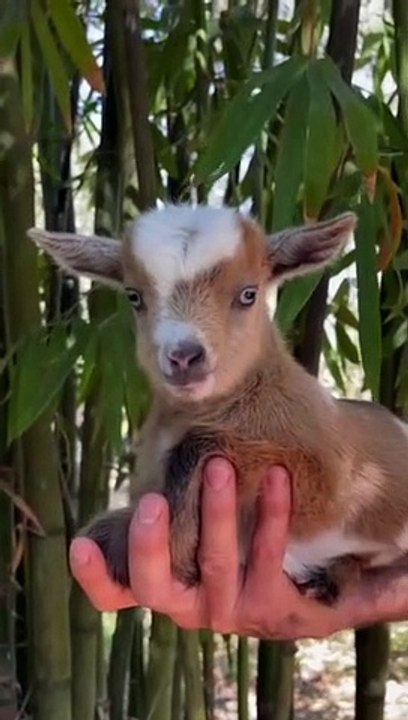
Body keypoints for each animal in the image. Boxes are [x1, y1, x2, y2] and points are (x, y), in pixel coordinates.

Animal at [28, 205, 408, 604]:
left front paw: (169, 545)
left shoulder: (327, 476)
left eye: (248, 294)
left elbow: (198, 445)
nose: (183, 356)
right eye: (134, 296)